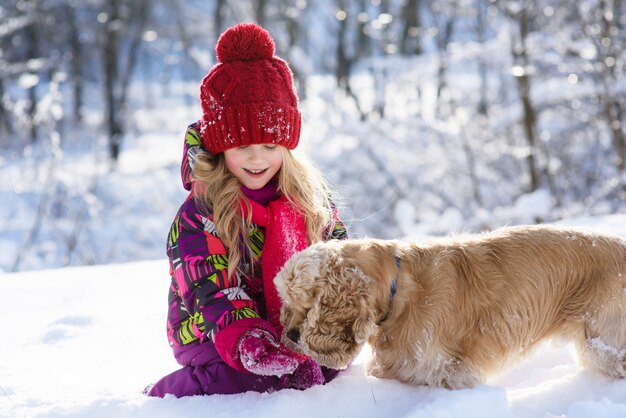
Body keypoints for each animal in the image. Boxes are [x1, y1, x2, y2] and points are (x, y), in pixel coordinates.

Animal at [276, 225, 624, 388]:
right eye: (288, 303)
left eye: (308, 302)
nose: (291, 335)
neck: (398, 290)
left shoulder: (447, 373)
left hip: (603, 343)